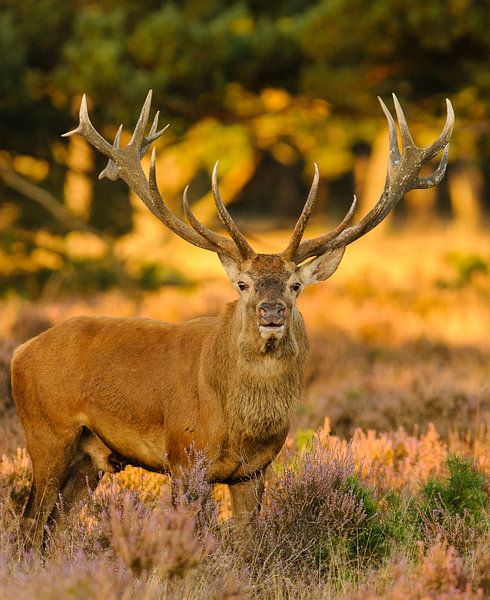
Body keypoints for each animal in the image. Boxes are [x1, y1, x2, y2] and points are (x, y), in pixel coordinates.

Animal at [11, 90, 454, 548]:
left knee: (56, 528)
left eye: (295, 285)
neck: (239, 425)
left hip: (92, 457)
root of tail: (20, 352)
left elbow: (248, 546)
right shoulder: (184, 458)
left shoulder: (254, 470)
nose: (271, 311)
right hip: (47, 433)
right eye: (243, 283)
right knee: (29, 523)